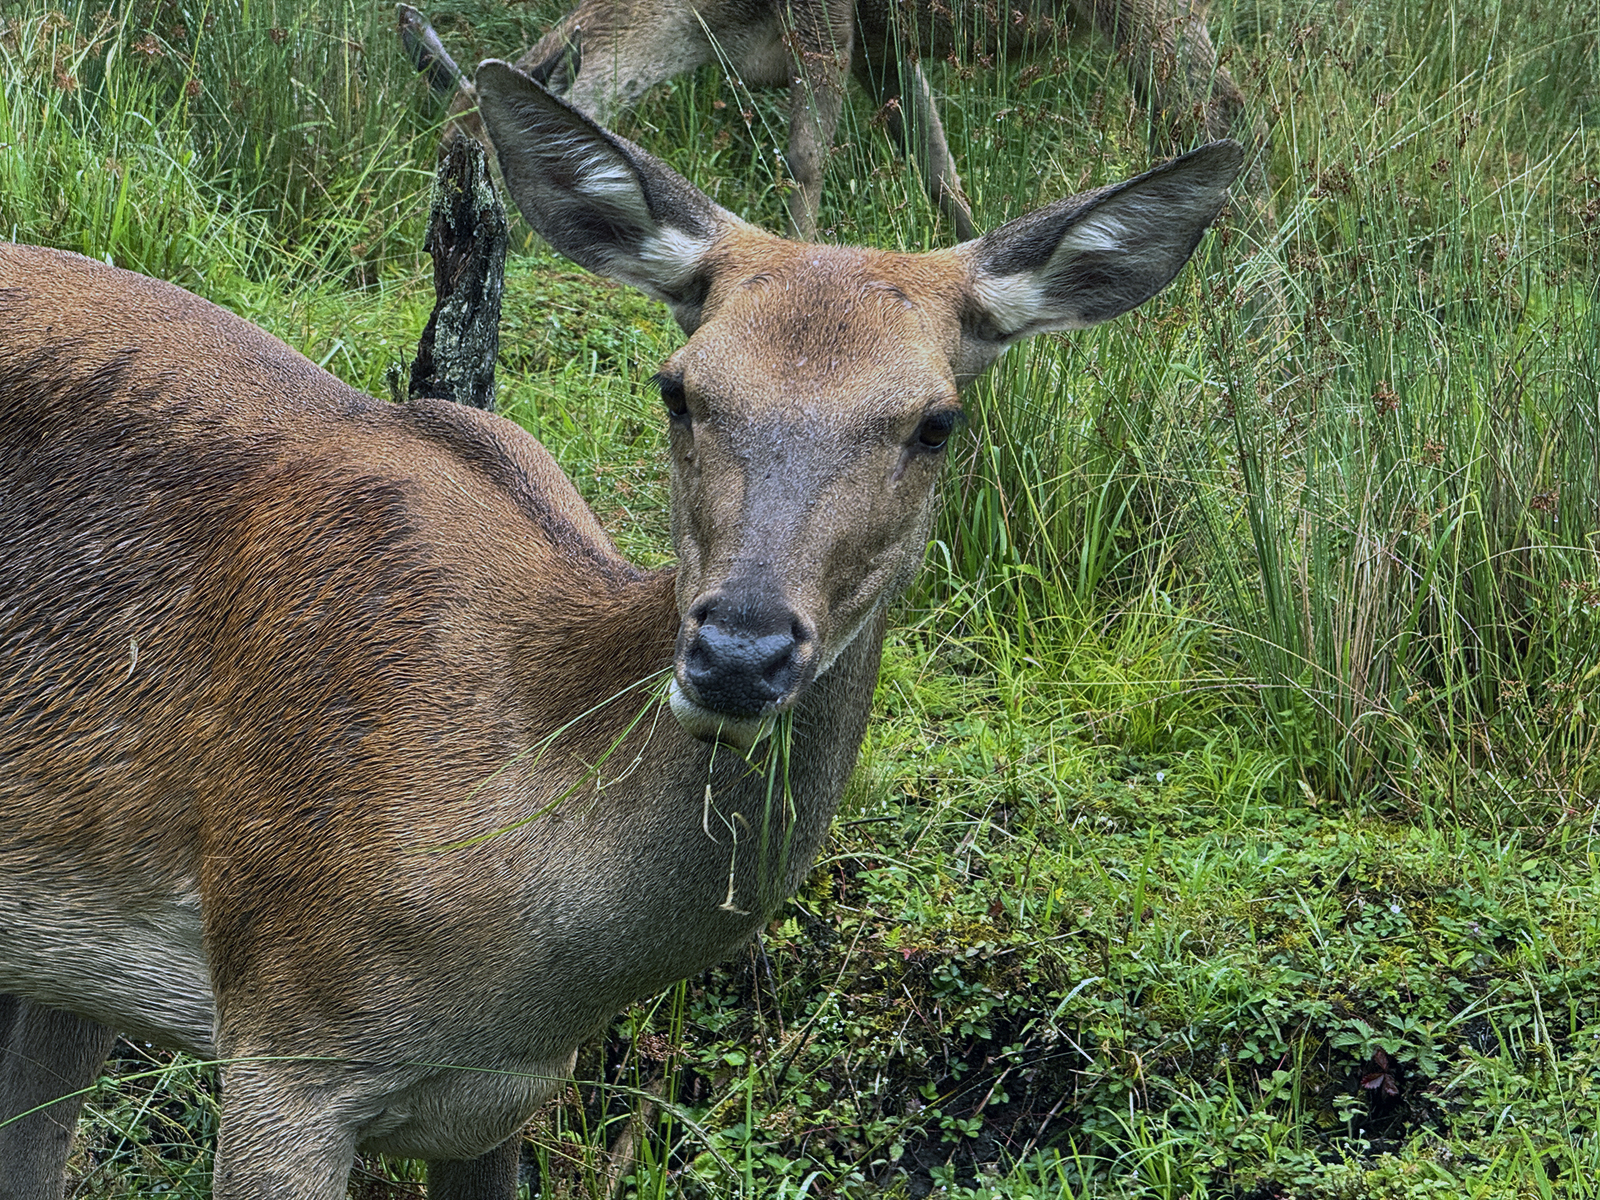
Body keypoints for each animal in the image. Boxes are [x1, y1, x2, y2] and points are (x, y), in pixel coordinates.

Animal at [403, 0, 1261, 241]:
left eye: (491, 149)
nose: (448, 233)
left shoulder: (826, 17)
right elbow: (938, 169)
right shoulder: (886, 41)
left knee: (1218, 106)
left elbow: (805, 157)